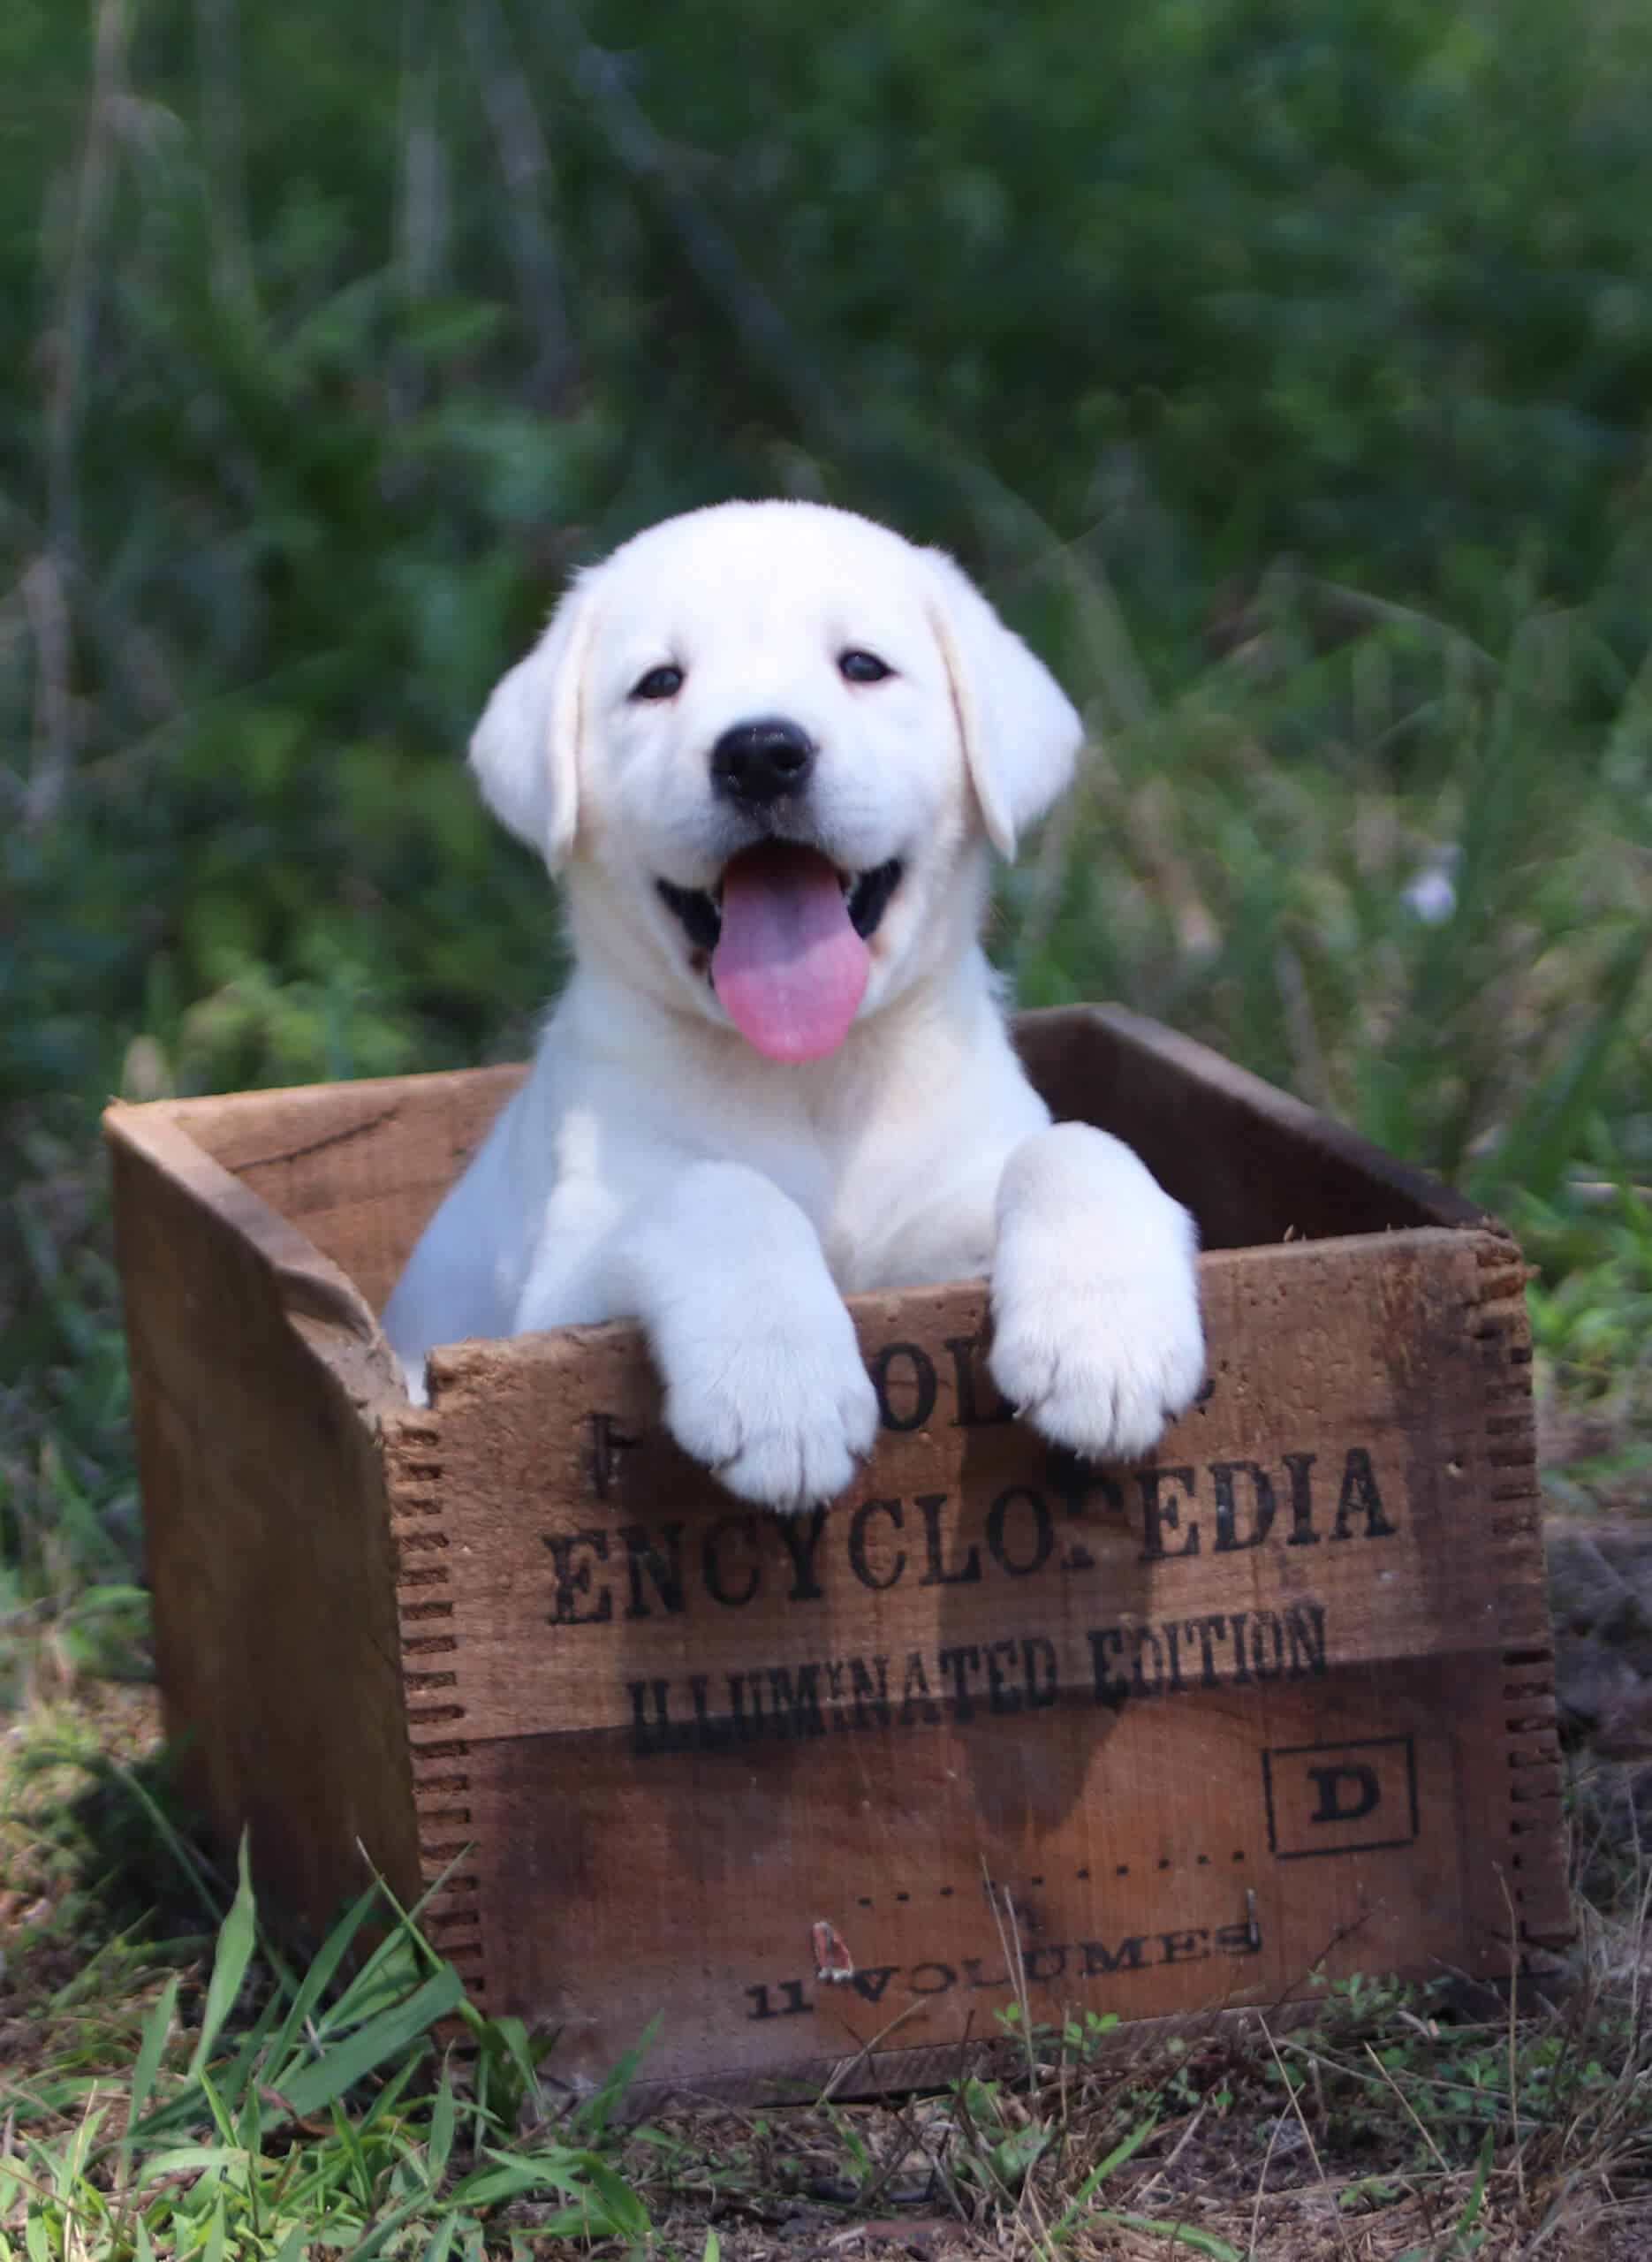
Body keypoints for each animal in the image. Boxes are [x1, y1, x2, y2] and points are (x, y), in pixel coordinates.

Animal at [387, 504, 1194, 1511]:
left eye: (862, 666)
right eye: (659, 684)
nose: (761, 754)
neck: (815, 1077)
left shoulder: (948, 1230)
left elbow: (1074, 1144)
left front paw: (1106, 1337)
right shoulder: (552, 1300)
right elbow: (720, 1188)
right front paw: (777, 1390)